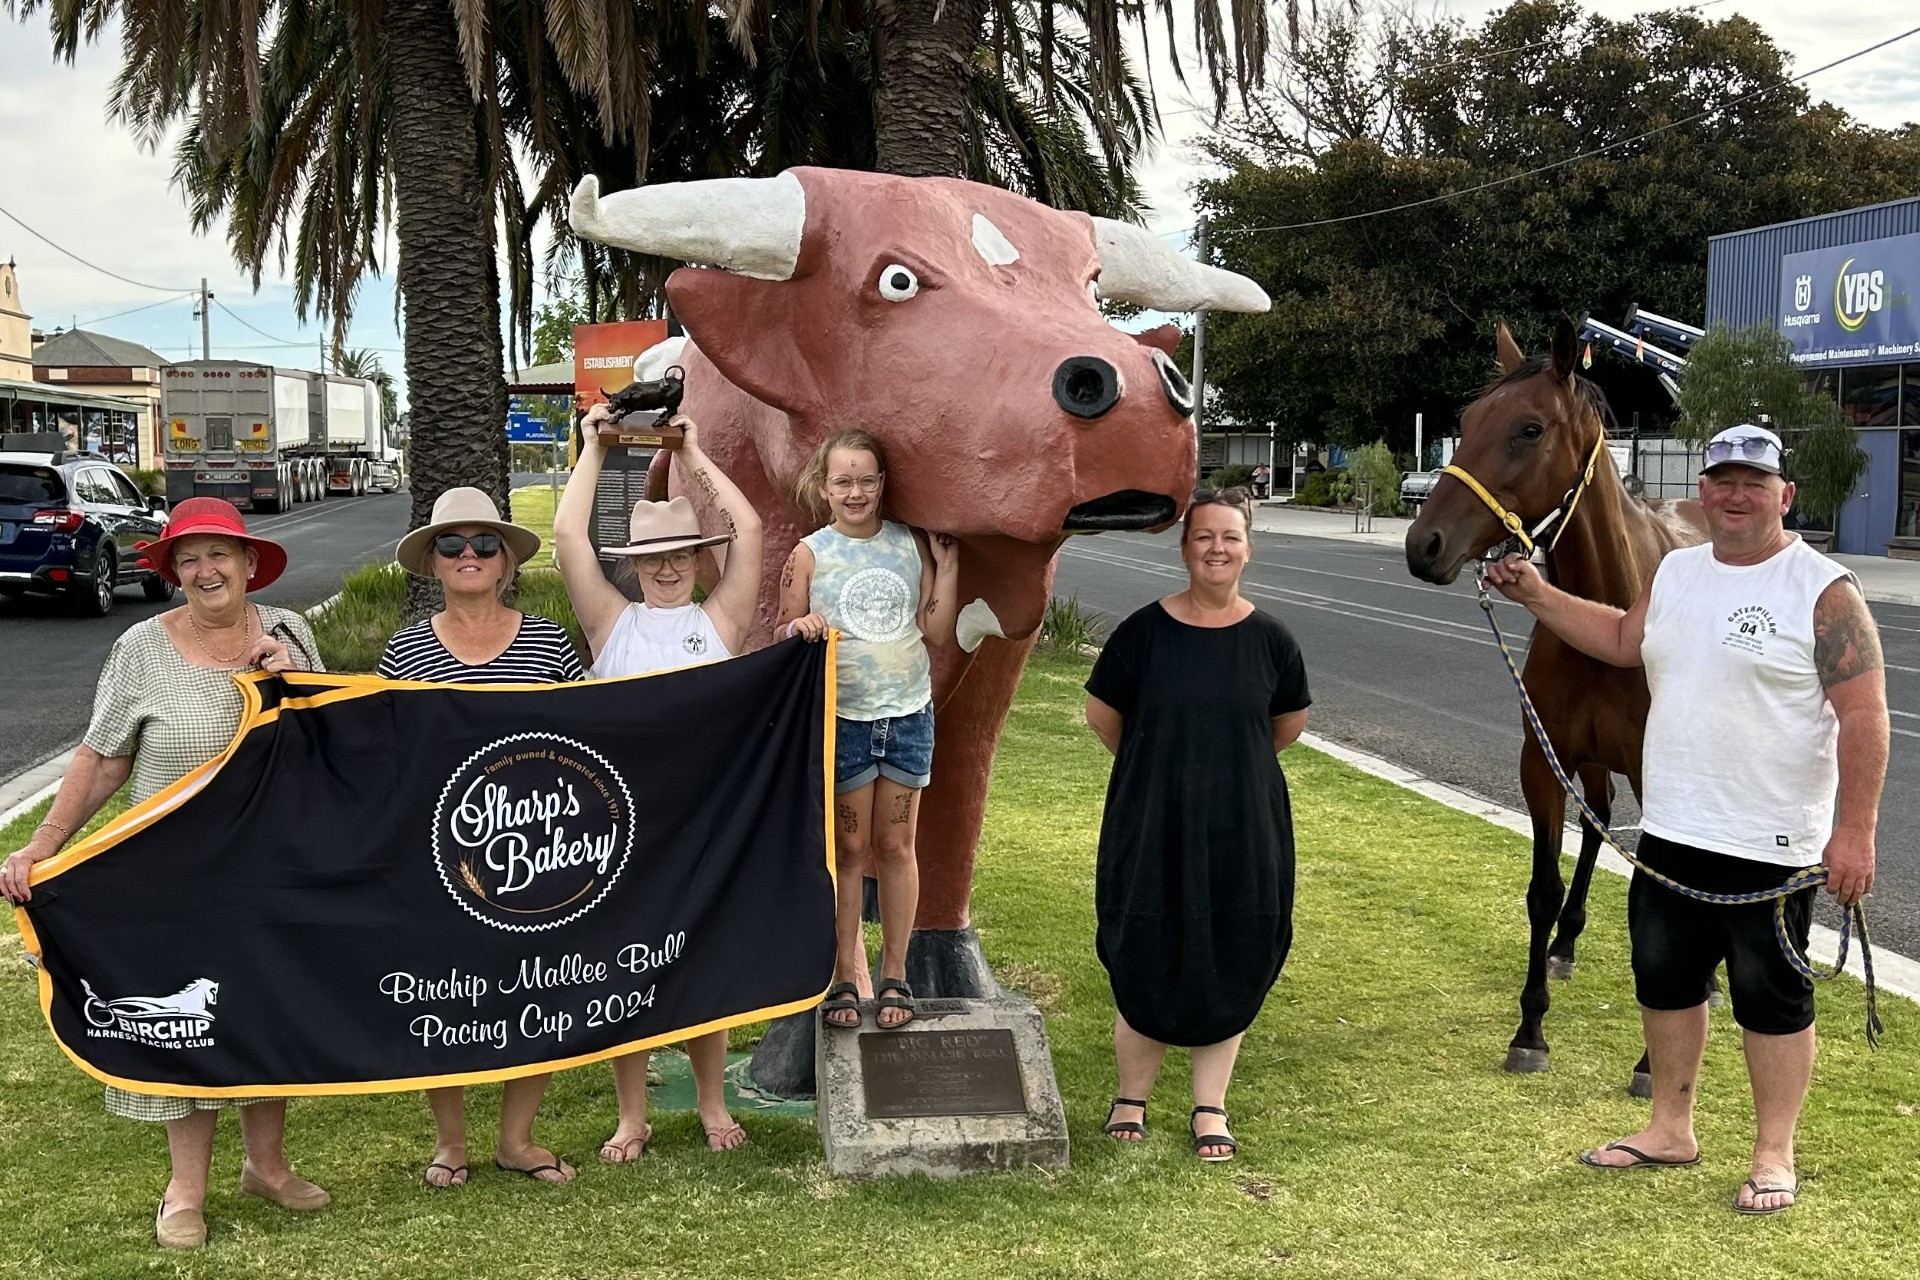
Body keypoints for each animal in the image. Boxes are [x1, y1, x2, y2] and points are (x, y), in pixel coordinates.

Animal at [1397, 318, 1712, 1090]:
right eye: (1465, 422)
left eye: (1529, 428)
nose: (1425, 543)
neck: (1614, 611)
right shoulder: (1542, 761)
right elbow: (1543, 886)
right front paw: (1530, 1028)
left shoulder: (1660, 776)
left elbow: (1657, 899)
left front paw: (1653, 1060)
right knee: (1596, 820)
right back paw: (1568, 944)